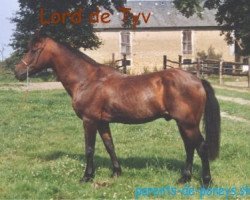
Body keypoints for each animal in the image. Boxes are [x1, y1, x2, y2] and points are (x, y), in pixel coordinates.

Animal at [14, 35, 220, 186]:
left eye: (33, 50)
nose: (17, 71)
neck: (87, 80)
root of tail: (197, 79)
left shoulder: (89, 121)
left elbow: (89, 149)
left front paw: (87, 177)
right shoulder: (102, 122)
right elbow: (109, 146)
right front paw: (116, 172)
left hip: (187, 123)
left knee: (201, 147)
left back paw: (206, 181)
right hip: (183, 124)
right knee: (189, 147)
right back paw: (184, 178)